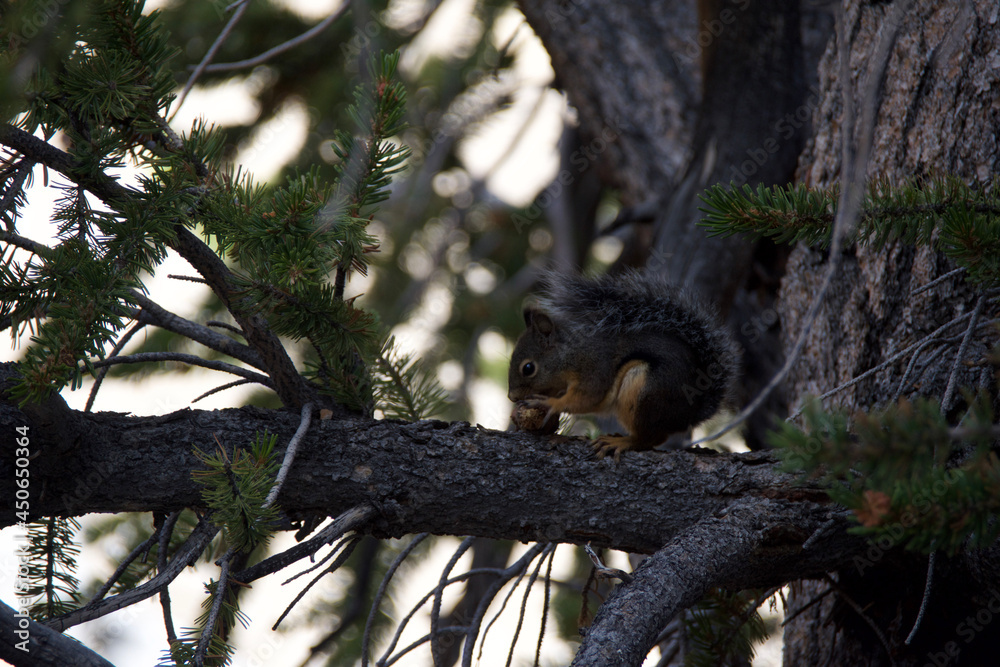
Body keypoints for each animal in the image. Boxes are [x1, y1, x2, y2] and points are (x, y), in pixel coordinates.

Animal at [507, 269, 739, 459]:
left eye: (528, 368)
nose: (511, 397)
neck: (569, 354)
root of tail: (690, 413)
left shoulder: (594, 367)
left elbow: (586, 397)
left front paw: (550, 404)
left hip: (643, 391)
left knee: (651, 438)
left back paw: (621, 441)